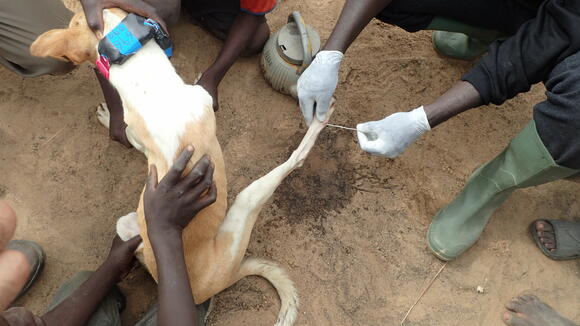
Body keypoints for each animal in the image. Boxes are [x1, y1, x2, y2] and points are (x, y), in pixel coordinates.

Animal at [29, 8, 334, 326]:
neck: (150, 84)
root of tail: (214, 284)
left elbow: (130, 135)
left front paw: (110, 120)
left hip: (243, 203)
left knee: (295, 159)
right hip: (141, 224)